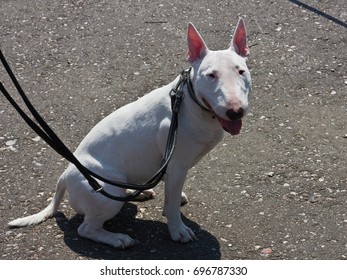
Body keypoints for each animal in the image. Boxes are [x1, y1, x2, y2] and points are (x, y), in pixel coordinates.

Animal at [8, 18, 253, 248]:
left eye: (241, 71)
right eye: (211, 75)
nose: (235, 111)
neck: (191, 102)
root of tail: (65, 176)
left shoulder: (173, 169)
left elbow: (171, 197)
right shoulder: (176, 165)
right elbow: (173, 204)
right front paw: (178, 230)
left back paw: (139, 192)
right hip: (108, 191)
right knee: (86, 229)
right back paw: (117, 238)